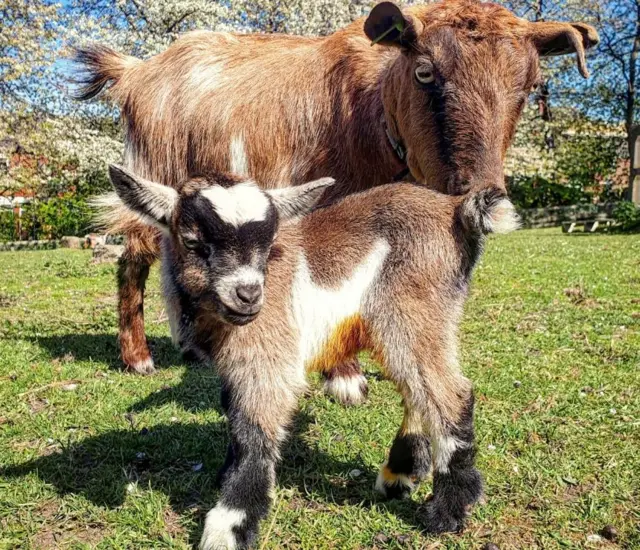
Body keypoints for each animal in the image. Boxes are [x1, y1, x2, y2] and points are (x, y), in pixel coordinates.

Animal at [76, 1, 600, 406]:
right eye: (424, 70)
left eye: (530, 86)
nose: (486, 197)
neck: (370, 106)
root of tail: (137, 70)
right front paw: (346, 379)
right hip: (154, 174)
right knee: (135, 256)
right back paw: (139, 358)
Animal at [106, 166, 520, 548]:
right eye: (192, 241)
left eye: (269, 241)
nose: (248, 295)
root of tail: (456, 209)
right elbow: (234, 414)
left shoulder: (268, 355)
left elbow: (253, 430)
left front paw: (229, 525)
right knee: (417, 388)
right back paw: (400, 473)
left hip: (414, 308)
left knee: (449, 392)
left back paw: (448, 511)